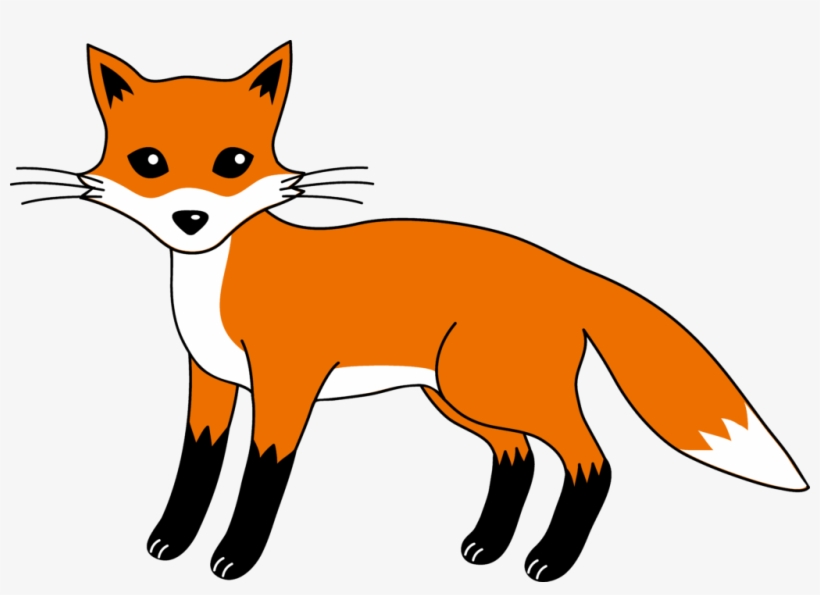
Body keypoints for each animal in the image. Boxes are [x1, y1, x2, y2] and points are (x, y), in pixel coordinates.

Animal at [14, 41, 808, 583]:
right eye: (148, 162)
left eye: (233, 162)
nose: (190, 218)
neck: (219, 279)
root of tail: (566, 267)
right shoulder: (209, 380)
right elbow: (196, 464)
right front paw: (171, 541)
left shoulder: (286, 383)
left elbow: (261, 476)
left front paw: (236, 556)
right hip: (457, 396)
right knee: (517, 458)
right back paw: (487, 546)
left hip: (496, 390)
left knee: (592, 463)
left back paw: (549, 559)